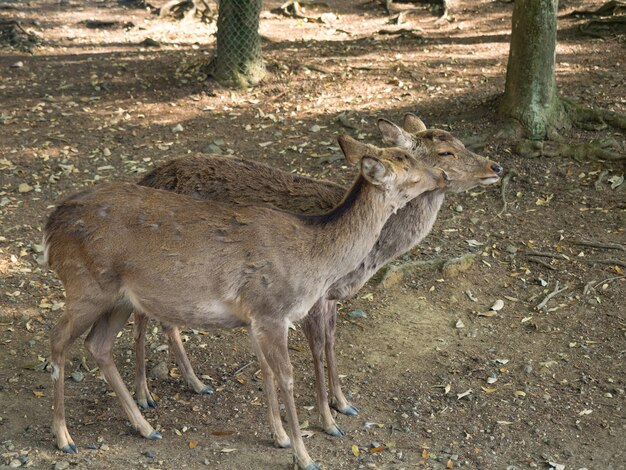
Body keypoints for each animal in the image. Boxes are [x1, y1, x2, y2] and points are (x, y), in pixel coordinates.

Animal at [44, 135, 446, 470]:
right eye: (409, 169)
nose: (441, 174)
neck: (316, 257)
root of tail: (49, 227)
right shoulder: (272, 308)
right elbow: (286, 376)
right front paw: (305, 454)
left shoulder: (256, 317)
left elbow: (266, 371)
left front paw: (279, 437)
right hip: (85, 286)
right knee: (59, 339)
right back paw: (64, 437)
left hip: (120, 298)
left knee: (98, 345)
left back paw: (145, 427)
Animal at [132, 113, 502, 436]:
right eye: (444, 152)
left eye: (460, 140)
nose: (496, 166)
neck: (368, 254)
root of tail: (146, 176)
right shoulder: (311, 296)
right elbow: (317, 349)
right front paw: (328, 421)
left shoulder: (334, 295)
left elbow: (333, 342)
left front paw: (344, 403)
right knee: (143, 315)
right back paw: (145, 396)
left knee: (164, 318)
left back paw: (195, 383)